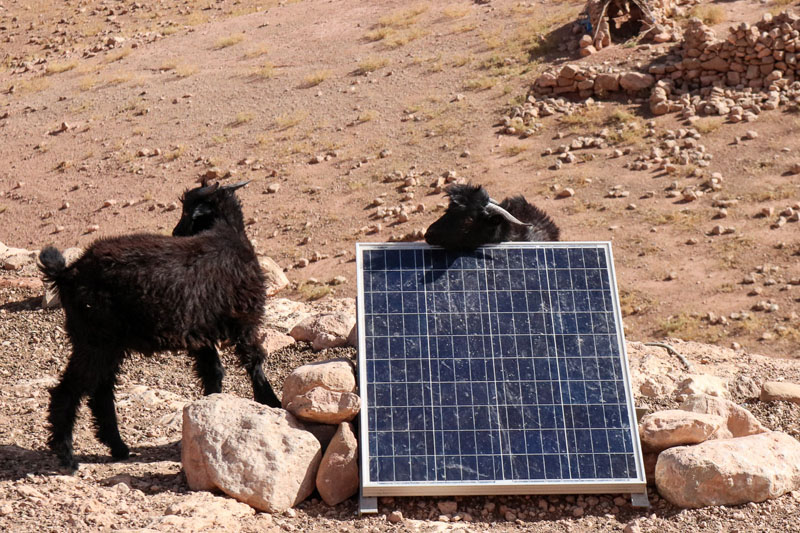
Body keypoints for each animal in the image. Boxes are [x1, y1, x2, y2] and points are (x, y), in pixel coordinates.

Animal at [39, 180, 282, 470]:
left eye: (189, 212)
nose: (176, 232)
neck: (227, 234)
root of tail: (67, 273)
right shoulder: (244, 321)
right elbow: (254, 362)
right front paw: (271, 402)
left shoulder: (201, 332)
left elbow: (213, 372)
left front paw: (209, 413)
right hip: (95, 341)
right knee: (69, 391)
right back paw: (68, 455)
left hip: (104, 344)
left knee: (100, 392)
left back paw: (118, 448)